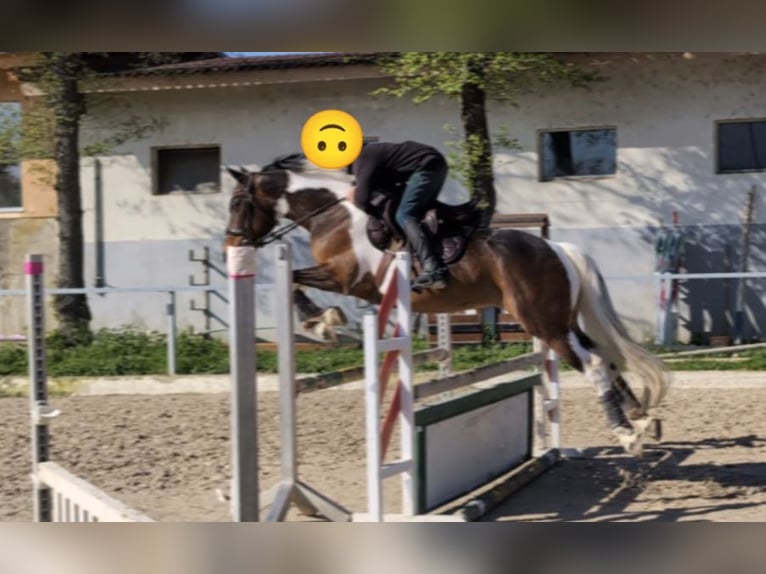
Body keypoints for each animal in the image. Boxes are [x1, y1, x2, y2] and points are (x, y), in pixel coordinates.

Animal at [223, 153, 671, 456]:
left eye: (236, 203)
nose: (232, 246)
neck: (334, 216)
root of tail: (557, 247)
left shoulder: (346, 278)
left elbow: (295, 280)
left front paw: (321, 321)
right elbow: (295, 279)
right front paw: (324, 322)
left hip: (543, 323)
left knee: (593, 363)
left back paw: (626, 433)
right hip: (559, 319)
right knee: (605, 357)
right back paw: (642, 419)